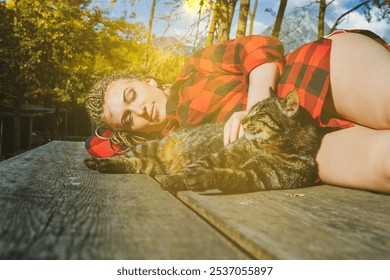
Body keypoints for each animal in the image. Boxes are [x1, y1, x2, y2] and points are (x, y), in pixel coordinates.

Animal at [85, 91, 322, 194]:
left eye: (259, 114)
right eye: (250, 111)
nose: (242, 120)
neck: (268, 146)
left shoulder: (256, 175)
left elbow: (226, 176)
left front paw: (201, 179)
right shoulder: (220, 155)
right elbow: (196, 166)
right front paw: (179, 179)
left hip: (153, 164)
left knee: (135, 164)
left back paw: (104, 165)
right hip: (148, 147)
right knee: (126, 155)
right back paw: (96, 161)